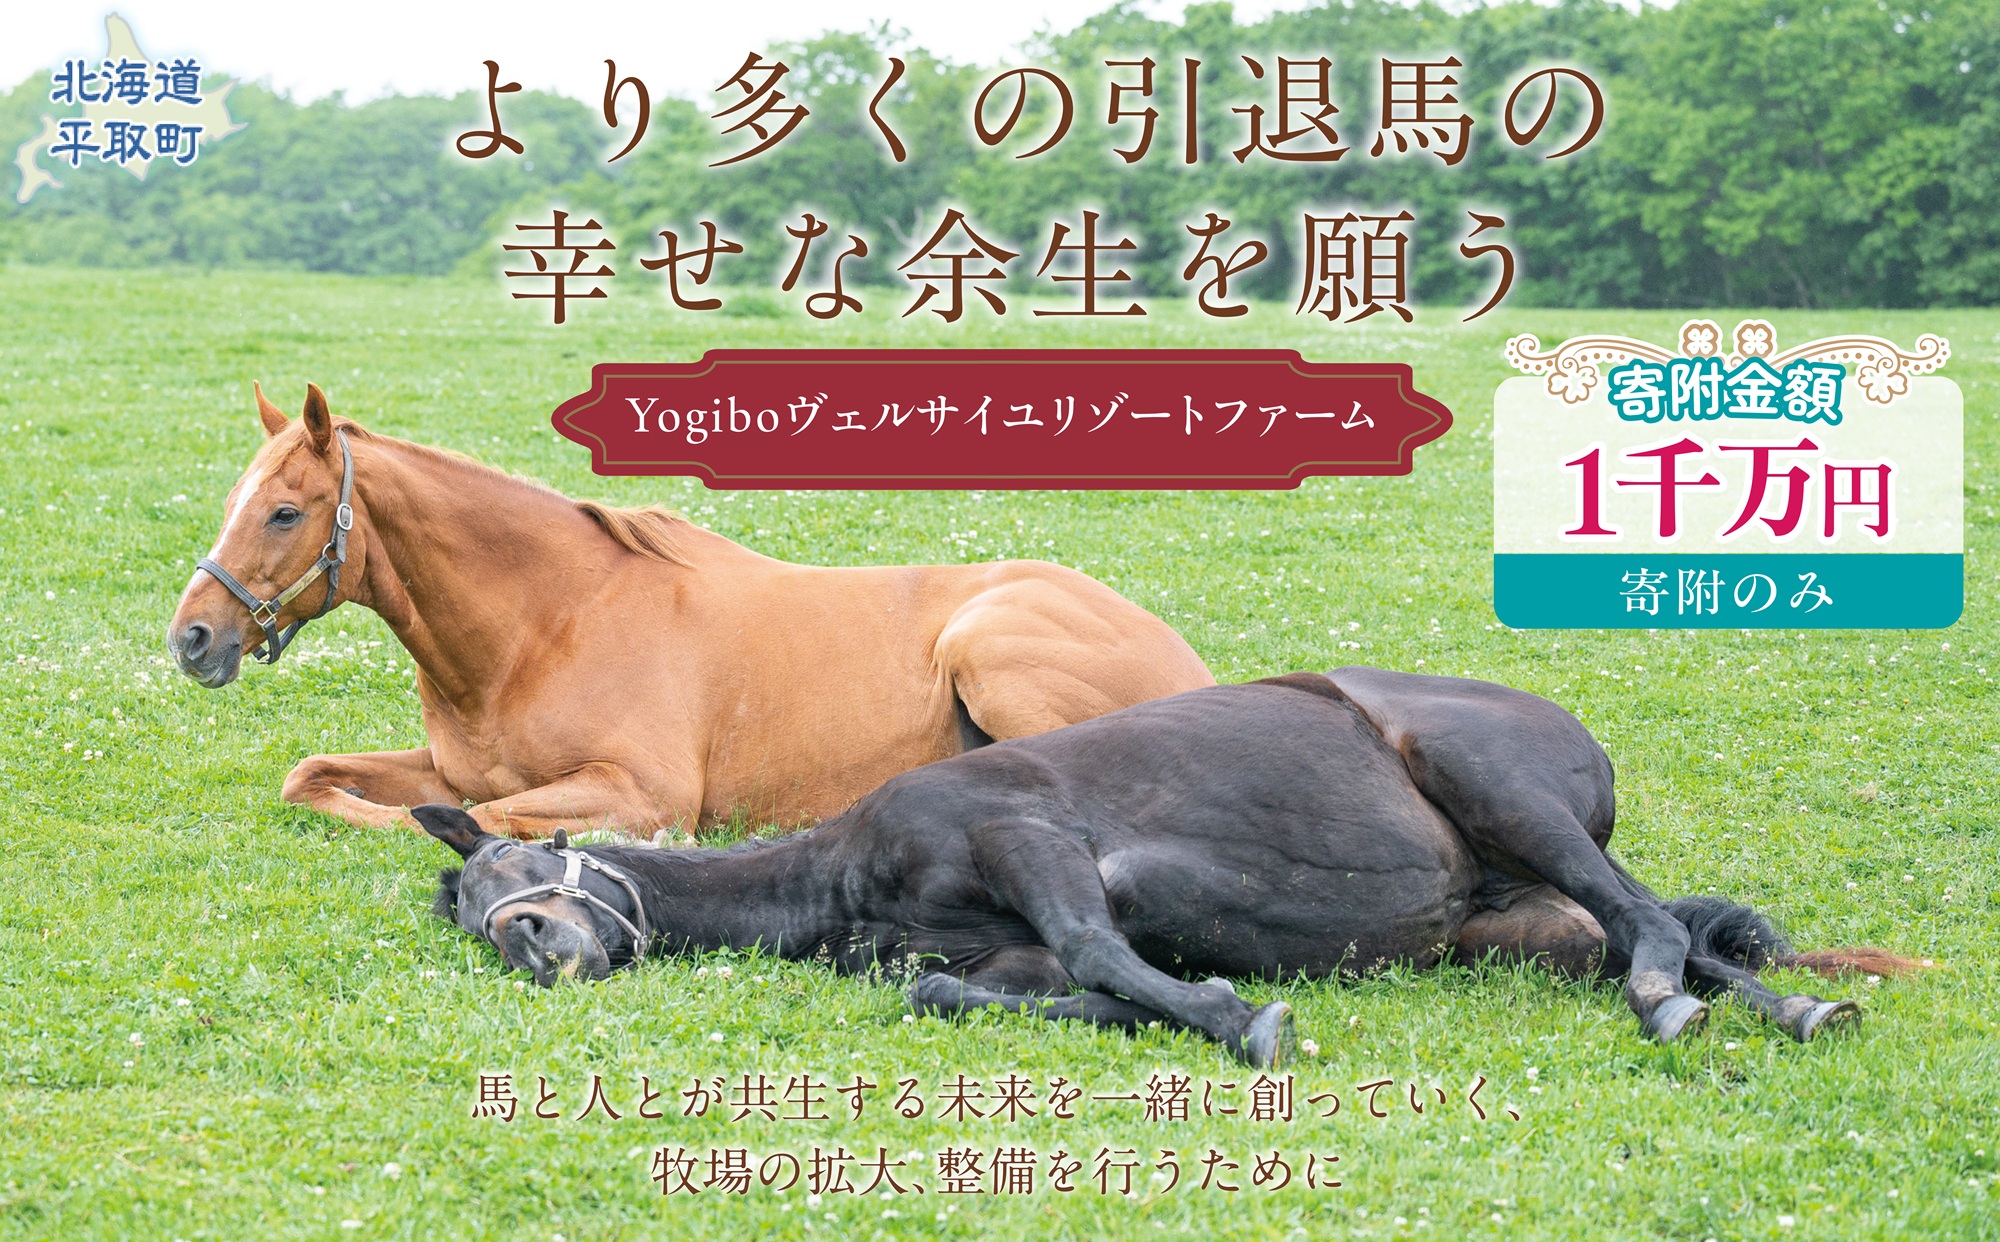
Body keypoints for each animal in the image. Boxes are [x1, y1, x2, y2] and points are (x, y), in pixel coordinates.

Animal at [166, 383, 1214, 838]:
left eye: (286, 511)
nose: (192, 638)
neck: (545, 627)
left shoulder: (639, 789)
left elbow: (476, 817)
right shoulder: (448, 765)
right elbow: (316, 779)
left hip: (988, 648)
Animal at [419, 668, 1913, 1066]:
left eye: (532, 857)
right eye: (478, 912)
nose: (540, 941)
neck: (846, 869)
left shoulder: (1032, 841)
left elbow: (1099, 949)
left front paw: (1241, 1020)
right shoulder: (994, 952)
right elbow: (964, 992)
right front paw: (1178, 1008)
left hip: (1496, 788)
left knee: (1649, 924)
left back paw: (1689, 1000)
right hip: (1521, 923)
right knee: (1671, 934)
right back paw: (1781, 1006)